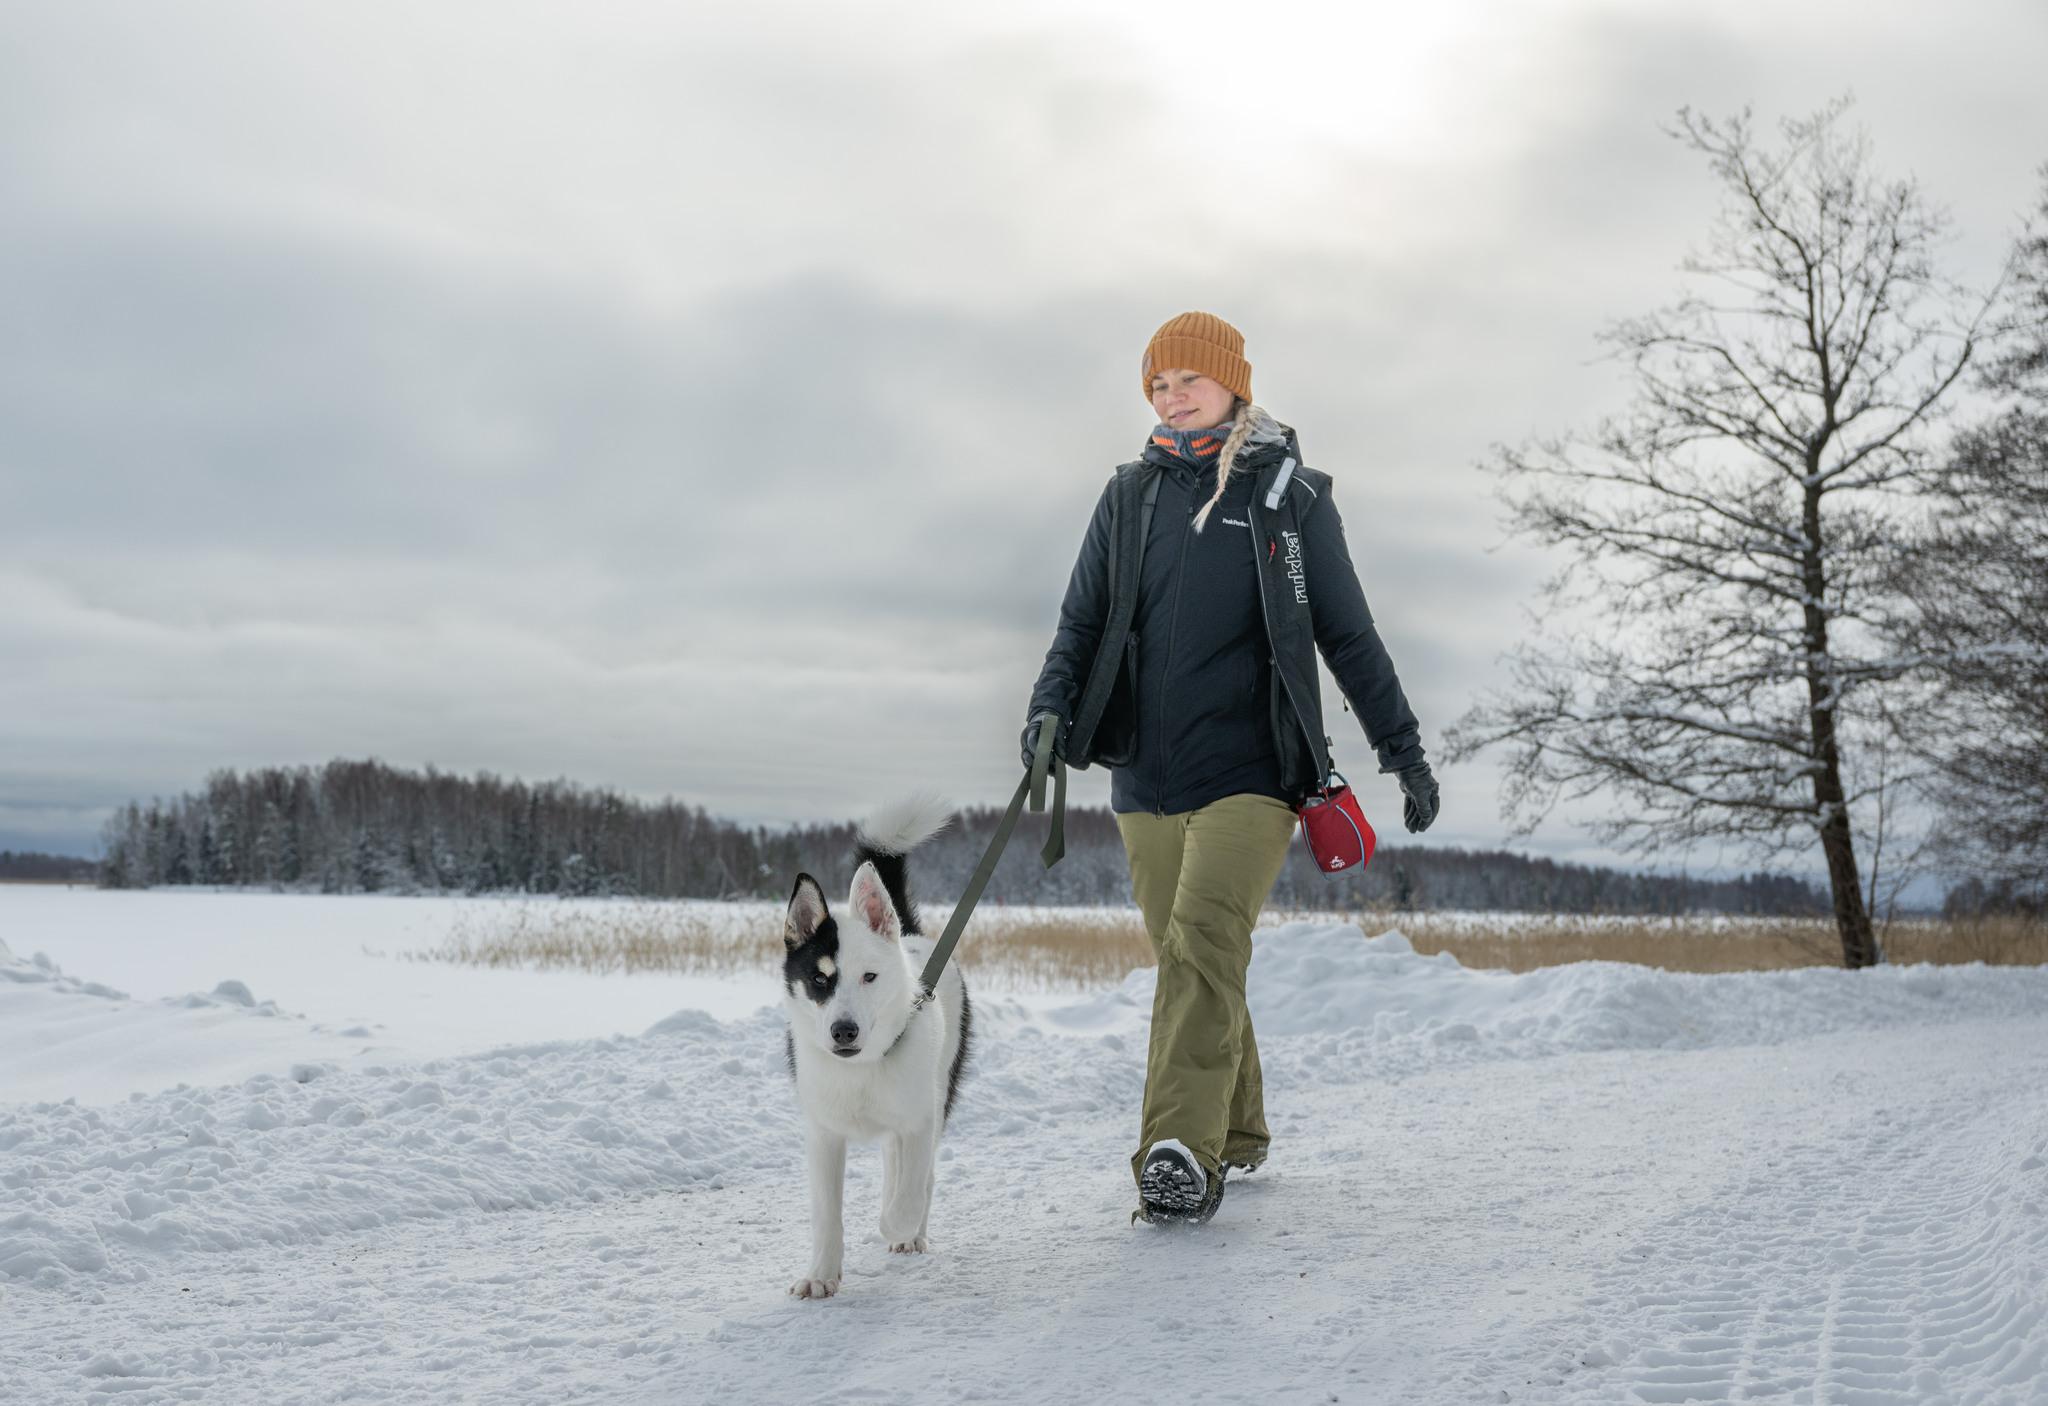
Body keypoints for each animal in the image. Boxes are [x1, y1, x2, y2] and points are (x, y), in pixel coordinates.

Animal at [782, 798, 974, 1301]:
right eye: (819, 979)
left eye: (869, 977)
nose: (843, 1031)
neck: (862, 1069)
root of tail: (908, 935)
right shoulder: (824, 1135)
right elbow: (827, 1214)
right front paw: (821, 1274)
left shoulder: (921, 1119)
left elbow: (911, 1190)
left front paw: (897, 1226)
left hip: (938, 1089)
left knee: (917, 1175)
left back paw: (911, 1234)